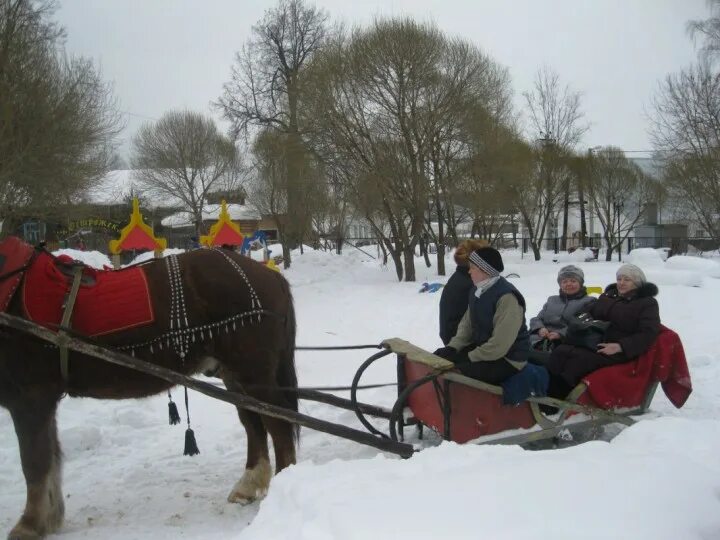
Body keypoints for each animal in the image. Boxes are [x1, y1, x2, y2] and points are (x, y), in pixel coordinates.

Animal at [0, 240, 298, 540]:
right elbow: (51, 457)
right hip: (235, 376)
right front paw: (49, 518)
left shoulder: (30, 396)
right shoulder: (43, 400)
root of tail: (270, 275)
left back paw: (285, 485)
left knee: (279, 425)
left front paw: (29, 523)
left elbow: (34, 462)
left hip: (253, 373)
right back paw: (249, 485)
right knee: (253, 424)